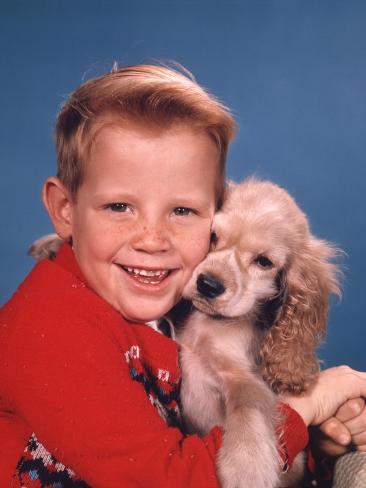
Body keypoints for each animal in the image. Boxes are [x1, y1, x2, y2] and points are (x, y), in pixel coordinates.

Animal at [177, 178, 340, 488]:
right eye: (213, 236)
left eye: (264, 262)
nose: (208, 284)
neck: (212, 324)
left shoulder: (245, 378)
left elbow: (249, 406)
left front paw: (247, 463)